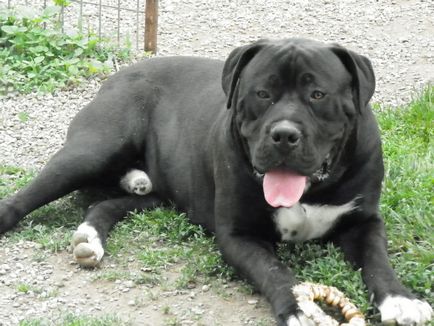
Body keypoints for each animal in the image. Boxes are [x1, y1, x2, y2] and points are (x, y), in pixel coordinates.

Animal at [1, 38, 432, 326]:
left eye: (317, 94)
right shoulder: (238, 235)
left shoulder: (364, 221)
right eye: (262, 93)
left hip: (161, 194)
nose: (284, 134)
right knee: (29, 195)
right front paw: (298, 308)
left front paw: (401, 300)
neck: (312, 189)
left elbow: (378, 260)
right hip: (94, 148)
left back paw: (90, 238)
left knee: (106, 202)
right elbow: (274, 272)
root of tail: (121, 72)